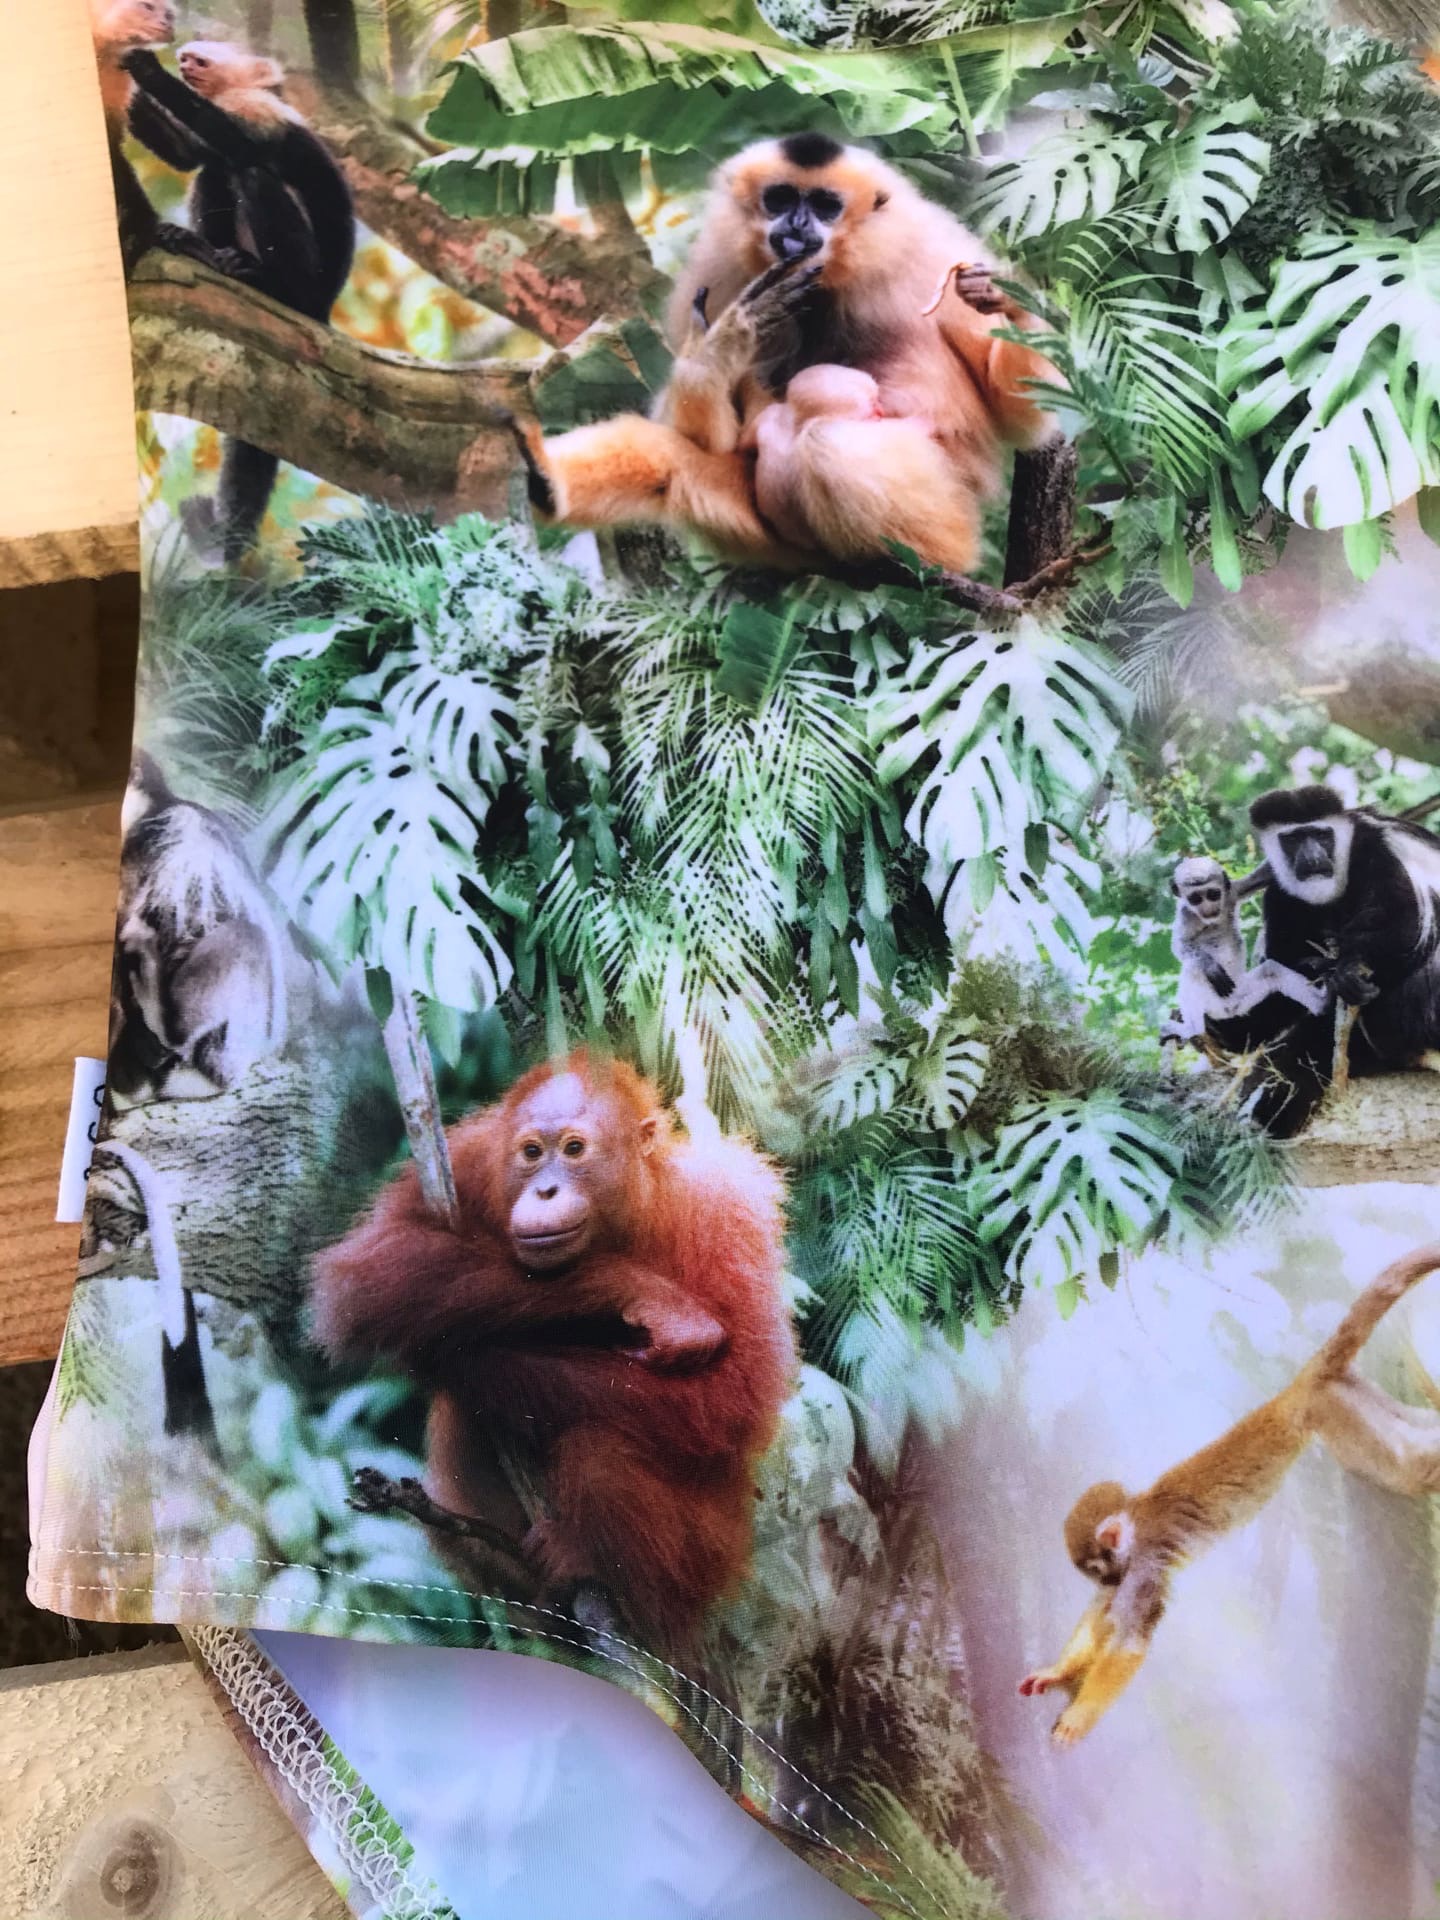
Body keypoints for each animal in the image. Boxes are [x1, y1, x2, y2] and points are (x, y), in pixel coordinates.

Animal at [118, 42, 355, 560]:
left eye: (200, 59)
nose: (183, 61)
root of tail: (324, 309)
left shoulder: (260, 108)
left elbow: (234, 142)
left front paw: (147, 71)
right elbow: (193, 155)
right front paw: (130, 92)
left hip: (310, 282)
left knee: (251, 173)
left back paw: (268, 282)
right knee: (215, 173)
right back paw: (202, 250)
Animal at [517, 136, 1057, 575]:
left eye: (824, 204)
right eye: (780, 197)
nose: (796, 222)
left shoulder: (932, 252)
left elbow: (1022, 419)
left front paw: (1010, 302)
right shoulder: (719, 271)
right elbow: (700, 434)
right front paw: (717, 350)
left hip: (950, 501)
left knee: (828, 441)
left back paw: (927, 560)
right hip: (768, 533)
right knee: (664, 453)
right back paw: (547, 485)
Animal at [1019, 1242, 1440, 1744]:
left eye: (1098, 1569)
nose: (1105, 1581)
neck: (1137, 1520)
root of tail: (1289, 1395)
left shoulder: (1143, 1564)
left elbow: (1128, 1638)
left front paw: (1079, 1714)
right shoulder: (1132, 1568)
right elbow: (1102, 1615)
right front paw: (1057, 1671)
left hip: (1324, 1415)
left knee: (1407, 1461)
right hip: (1339, 1407)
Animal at [1160, 854, 1327, 1051]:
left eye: (1213, 894)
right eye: (1195, 898)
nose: (1208, 907)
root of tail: (1229, 1010)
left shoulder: (1232, 892)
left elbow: (1265, 874)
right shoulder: (1187, 915)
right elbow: (1180, 945)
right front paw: (1210, 967)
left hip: (1241, 997)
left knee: (1271, 971)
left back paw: (1322, 1002)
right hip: (1215, 1004)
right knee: (1192, 969)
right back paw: (1193, 1029)